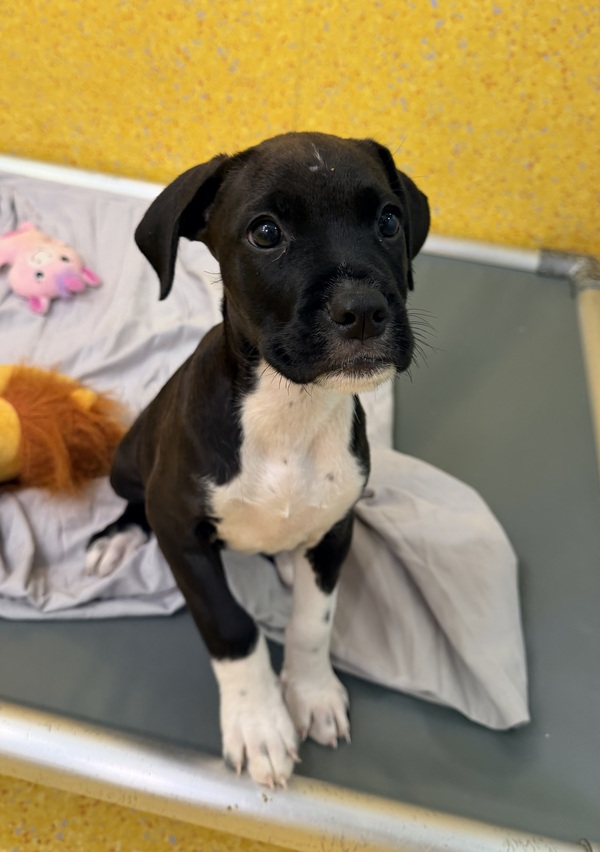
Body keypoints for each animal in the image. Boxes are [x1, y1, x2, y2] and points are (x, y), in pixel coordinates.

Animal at [86, 131, 430, 787]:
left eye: (388, 220)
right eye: (265, 233)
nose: (364, 310)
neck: (288, 414)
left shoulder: (339, 522)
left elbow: (314, 620)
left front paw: (312, 693)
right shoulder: (181, 532)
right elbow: (232, 626)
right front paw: (259, 724)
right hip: (128, 460)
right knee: (133, 502)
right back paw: (117, 539)